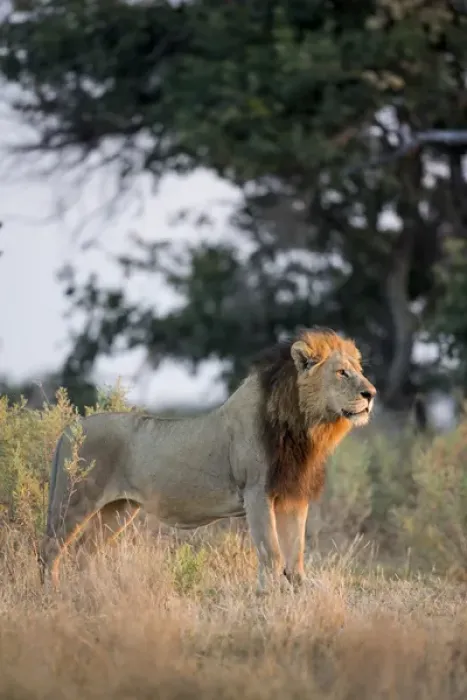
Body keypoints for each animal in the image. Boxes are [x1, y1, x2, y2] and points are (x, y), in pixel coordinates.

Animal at [39, 327, 376, 592]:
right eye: (342, 372)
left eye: (359, 370)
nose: (371, 393)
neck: (305, 427)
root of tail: (69, 430)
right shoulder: (257, 492)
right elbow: (272, 553)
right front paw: (269, 598)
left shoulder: (293, 495)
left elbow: (296, 557)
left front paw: (299, 594)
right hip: (76, 501)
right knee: (51, 549)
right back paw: (51, 594)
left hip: (118, 510)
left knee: (84, 553)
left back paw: (92, 592)